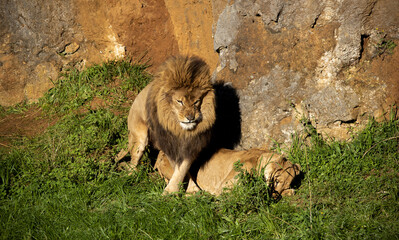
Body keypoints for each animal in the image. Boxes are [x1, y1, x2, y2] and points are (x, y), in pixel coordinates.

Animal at [116, 55, 216, 194]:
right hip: (139, 135)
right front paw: (172, 191)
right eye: (179, 101)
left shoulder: (191, 145)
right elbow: (178, 169)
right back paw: (132, 177)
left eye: (197, 101)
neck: (179, 129)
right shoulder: (169, 145)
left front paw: (191, 190)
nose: (190, 118)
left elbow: (183, 168)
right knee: (133, 160)